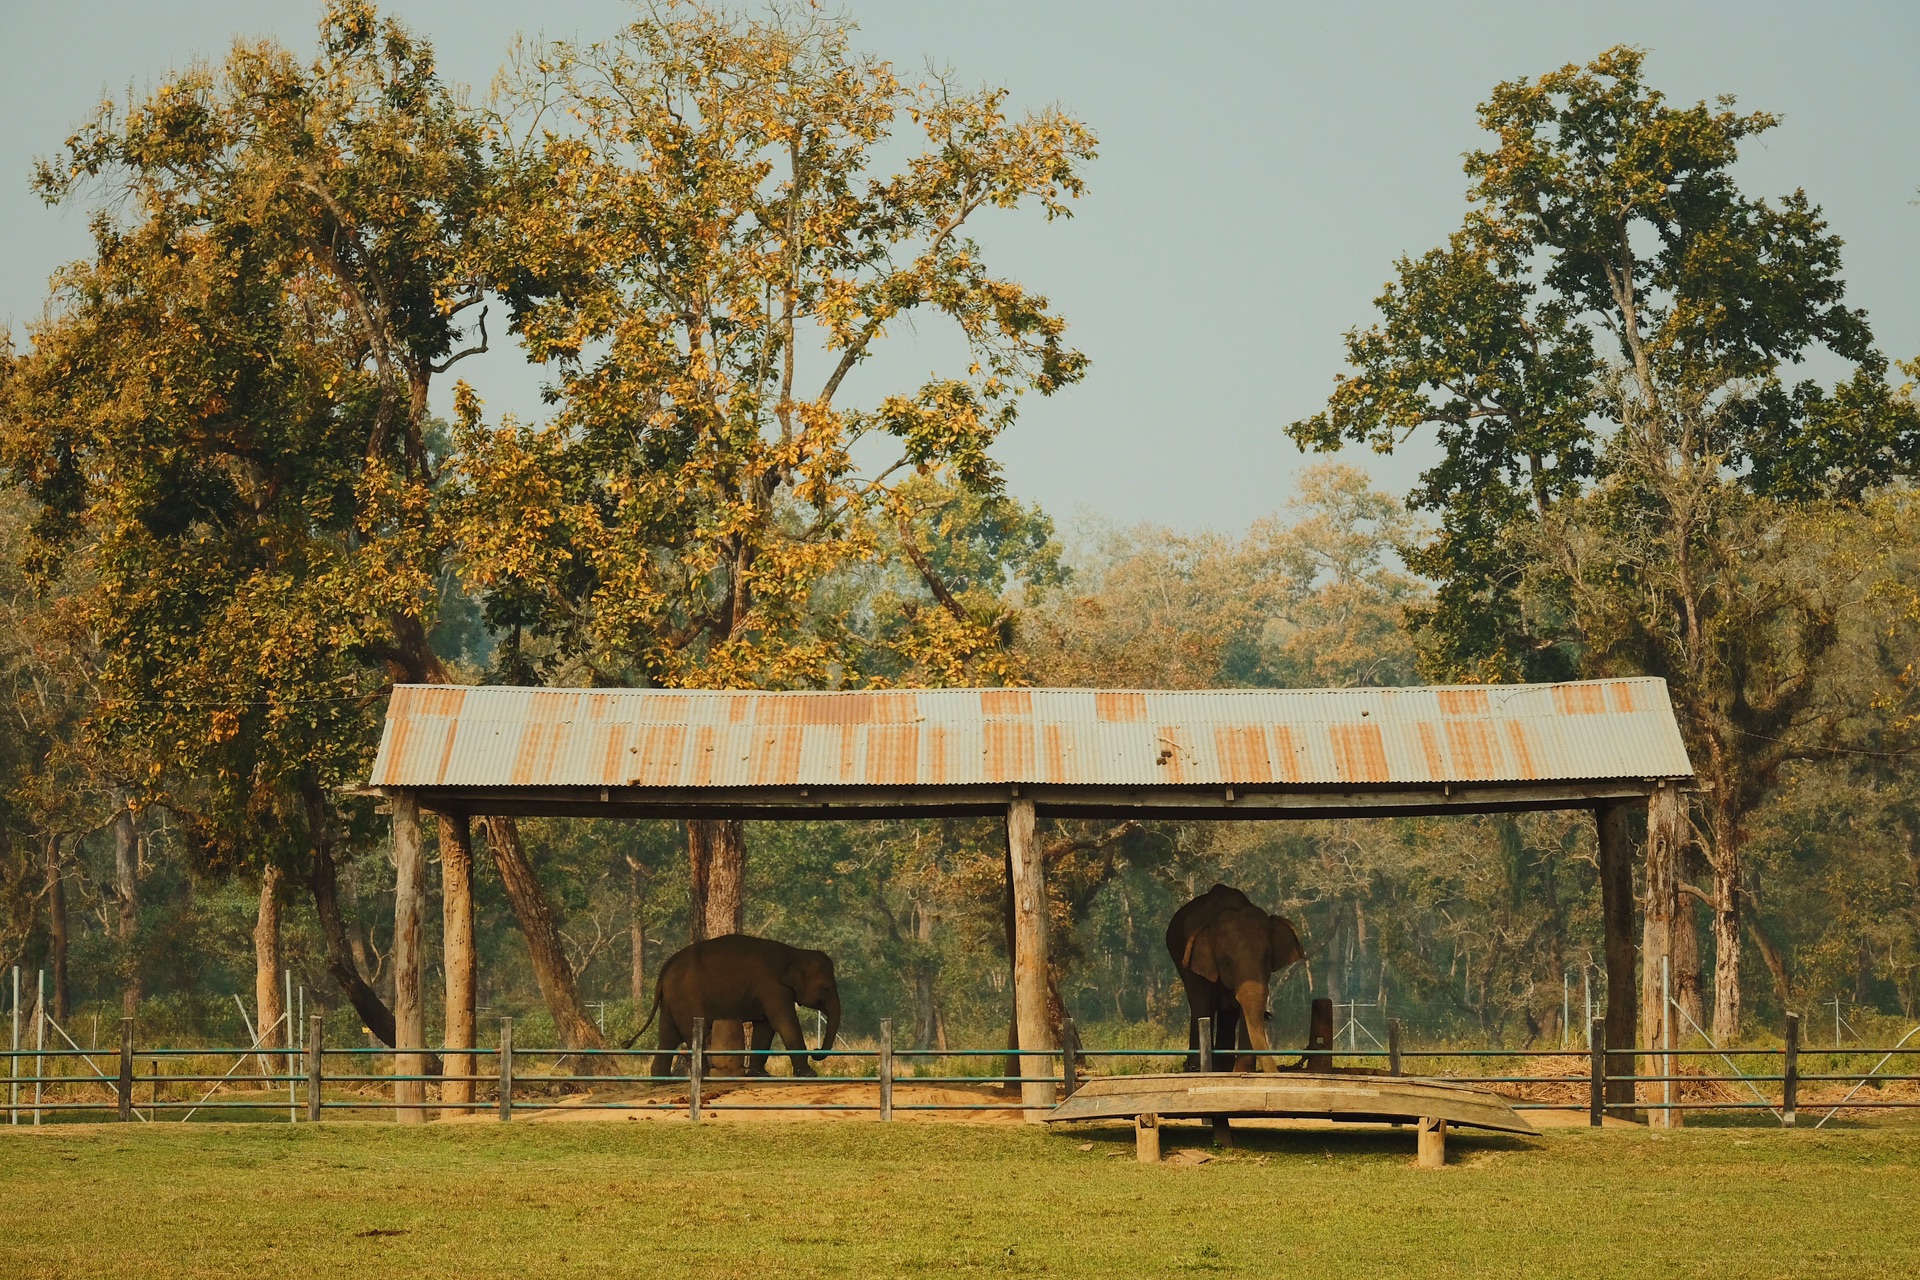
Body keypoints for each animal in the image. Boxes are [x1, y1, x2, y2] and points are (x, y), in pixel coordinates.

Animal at [637, 932, 840, 1082]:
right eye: (825, 987)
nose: (816, 1051)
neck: (795, 953)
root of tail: (665, 968)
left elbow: (765, 1026)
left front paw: (761, 1075)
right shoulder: (773, 986)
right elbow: (784, 1023)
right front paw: (809, 1074)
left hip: (671, 1001)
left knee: (667, 1036)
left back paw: (661, 1079)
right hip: (686, 999)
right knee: (693, 1033)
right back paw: (705, 1075)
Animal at [1167, 882, 1305, 1074]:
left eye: (1267, 957)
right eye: (1227, 962)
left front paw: (1241, 1072)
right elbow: (1203, 1002)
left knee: (1228, 1015)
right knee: (1199, 1004)